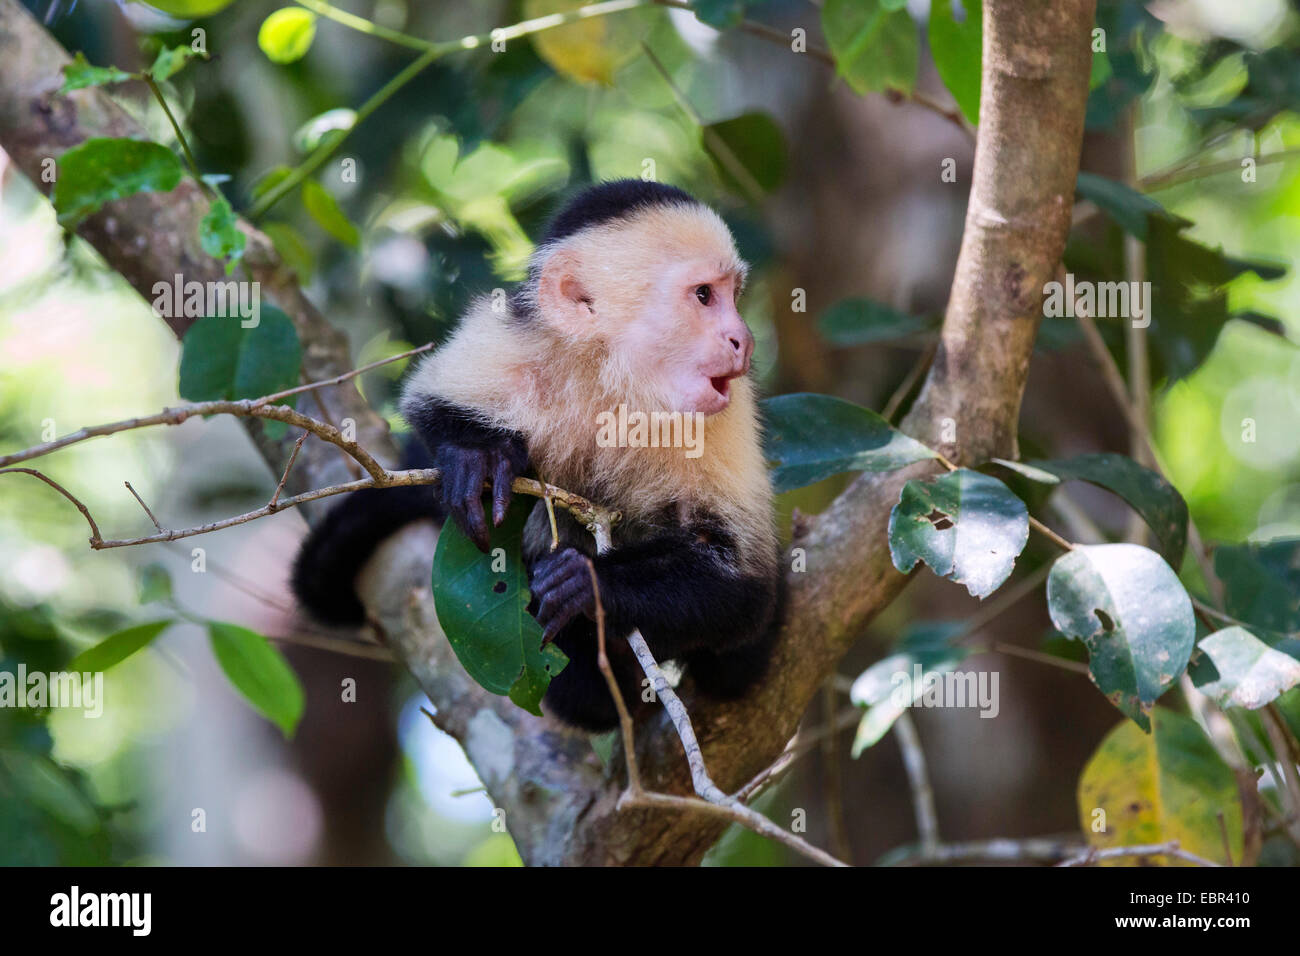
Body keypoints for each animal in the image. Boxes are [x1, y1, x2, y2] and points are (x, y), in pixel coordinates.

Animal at [292, 180, 780, 733]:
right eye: (703, 296)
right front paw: (477, 457)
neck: (615, 380)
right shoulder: (519, 343)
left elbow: (745, 582)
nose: (744, 339)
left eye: (733, 296)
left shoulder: (725, 414)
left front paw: (590, 582)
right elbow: (427, 399)